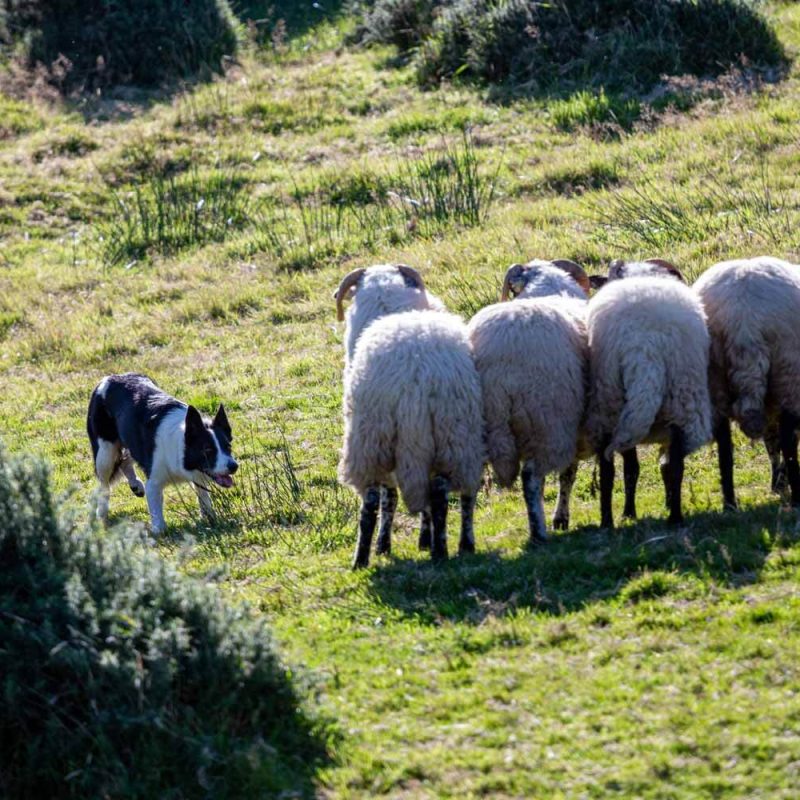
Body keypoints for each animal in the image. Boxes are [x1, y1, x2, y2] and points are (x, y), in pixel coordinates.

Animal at [334, 264, 485, 567]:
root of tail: (415, 374)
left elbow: (389, 497)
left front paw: (386, 545)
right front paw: (424, 539)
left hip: (370, 438)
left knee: (372, 499)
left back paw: (361, 559)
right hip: (454, 435)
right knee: (445, 493)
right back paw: (449, 548)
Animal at [467, 259, 591, 542]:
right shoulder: (572, 429)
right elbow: (567, 475)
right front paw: (560, 518)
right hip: (546, 421)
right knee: (531, 478)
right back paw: (539, 531)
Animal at [586, 259, 712, 527]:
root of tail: (645, 345)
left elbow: (631, 468)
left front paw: (629, 512)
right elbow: (665, 466)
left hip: (610, 408)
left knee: (609, 470)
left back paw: (608, 521)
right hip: (681, 401)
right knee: (676, 465)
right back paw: (675, 517)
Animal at [692, 256, 800, 510]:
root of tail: (744, 320)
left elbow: (771, 441)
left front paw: (778, 483)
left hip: (714, 379)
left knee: (724, 445)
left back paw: (730, 504)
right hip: (788, 369)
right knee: (789, 437)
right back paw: (797, 498)